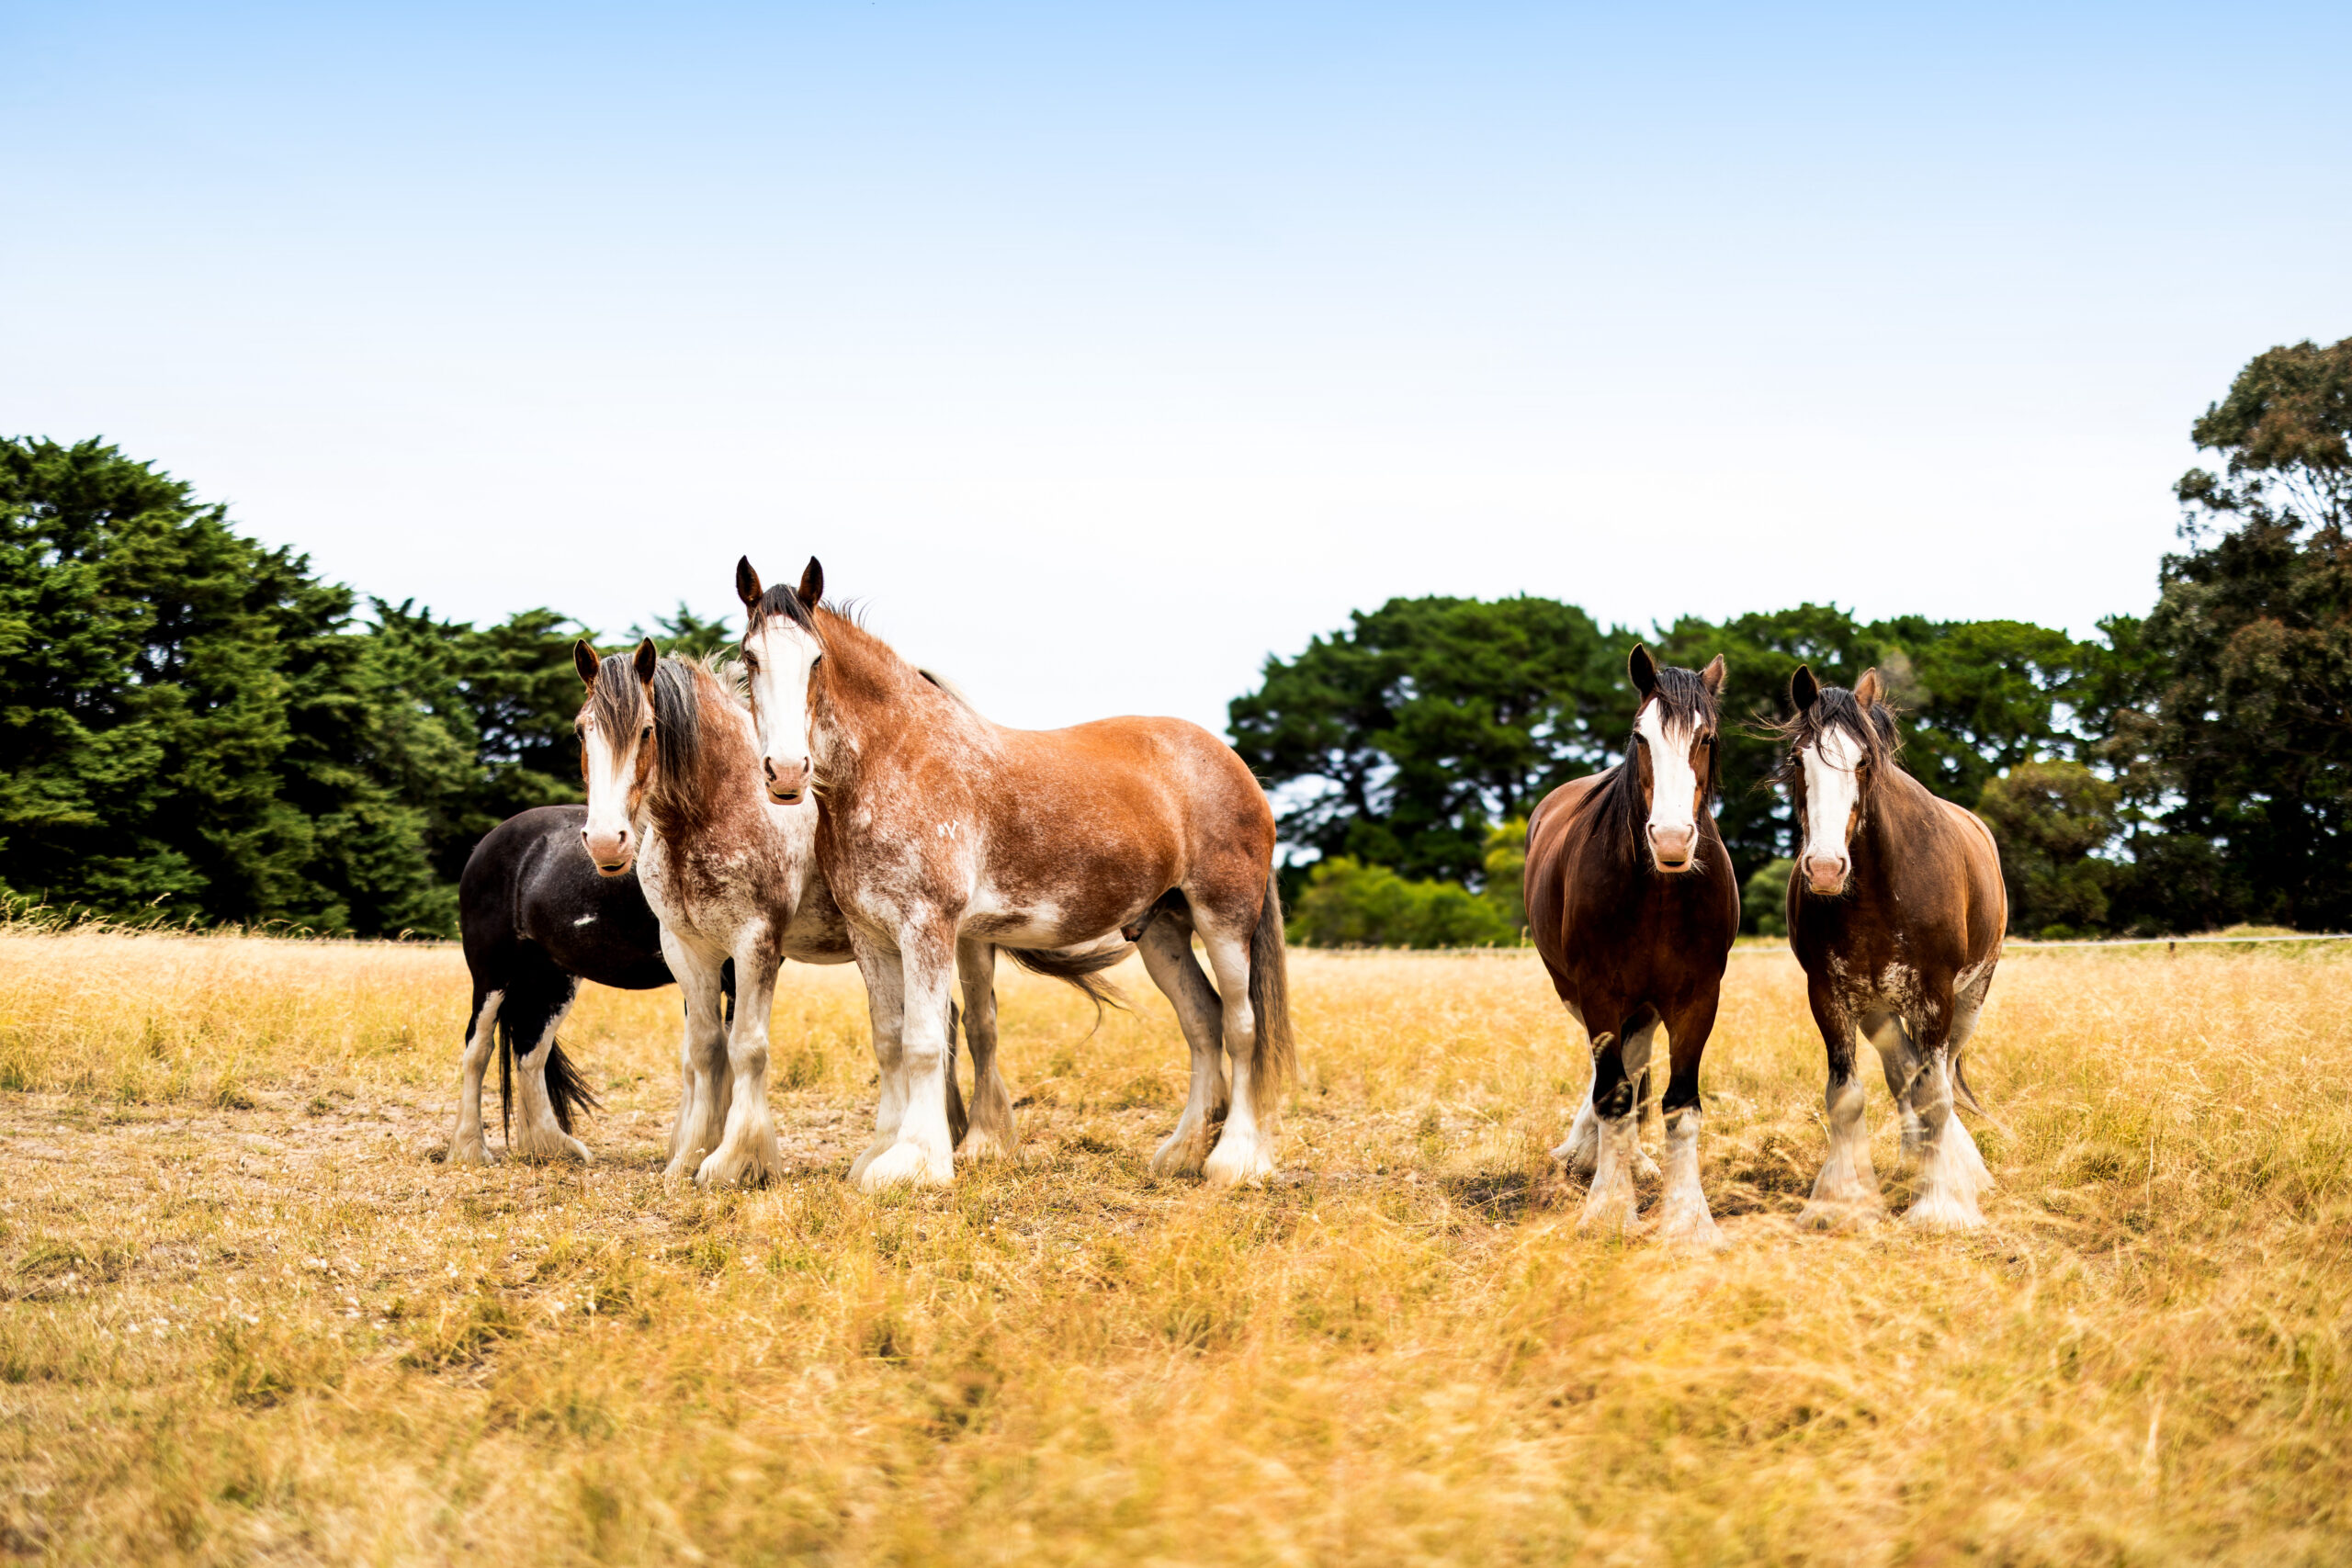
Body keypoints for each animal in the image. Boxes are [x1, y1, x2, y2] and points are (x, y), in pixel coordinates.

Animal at [444, 808, 724, 1166]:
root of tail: (485, 845)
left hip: (551, 979)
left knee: (531, 1050)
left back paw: (548, 1146)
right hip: (493, 974)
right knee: (478, 1049)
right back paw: (470, 1149)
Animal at [733, 554, 1298, 1189]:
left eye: (816, 659)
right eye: (750, 657)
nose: (786, 771)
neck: (895, 760)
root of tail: (1234, 765)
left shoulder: (928, 927)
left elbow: (924, 1041)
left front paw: (916, 1161)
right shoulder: (873, 936)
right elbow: (890, 1040)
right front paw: (881, 1151)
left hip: (1224, 918)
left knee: (1243, 1024)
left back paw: (1237, 1159)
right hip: (1161, 931)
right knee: (1203, 1022)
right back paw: (1182, 1153)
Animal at [1514, 644, 1740, 1241]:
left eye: (1707, 738)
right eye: (1642, 737)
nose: (1672, 839)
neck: (1659, 891)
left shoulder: (1695, 999)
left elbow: (1678, 1104)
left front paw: (1689, 1218)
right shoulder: (1598, 991)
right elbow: (1611, 1093)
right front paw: (1609, 1208)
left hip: (1645, 1006)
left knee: (1635, 1065)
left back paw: (1630, 1159)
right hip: (1578, 991)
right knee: (1609, 1075)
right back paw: (1585, 1152)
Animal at [1778, 667, 2004, 1232]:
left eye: (1863, 761)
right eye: (1796, 759)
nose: (1825, 869)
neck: (1880, 888)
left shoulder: (1935, 996)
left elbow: (1935, 1095)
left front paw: (1941, 1205)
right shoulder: (1829, 997)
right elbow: (1846, 1096)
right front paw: (1841, 1200)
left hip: (1969, 999)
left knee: (1937, 1076)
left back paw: (1961, 1170)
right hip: (1878, 1009)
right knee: (1903, 1071)